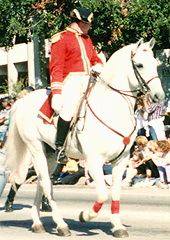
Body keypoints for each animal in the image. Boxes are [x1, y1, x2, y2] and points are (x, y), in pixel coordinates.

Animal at [4, 38, 165, 237]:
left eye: (154, 63)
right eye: (140, 64)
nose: (159, 95)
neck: (113, 108)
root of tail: (23, 100)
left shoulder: (121, 160)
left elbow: (116, 192)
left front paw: (117, 226)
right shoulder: (94, 159)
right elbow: (103, 193)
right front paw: (85, 215)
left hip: (50, 154)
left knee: (42, 181)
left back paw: (37, 222)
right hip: (36, 149)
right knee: (46, 184)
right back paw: (61, 225)